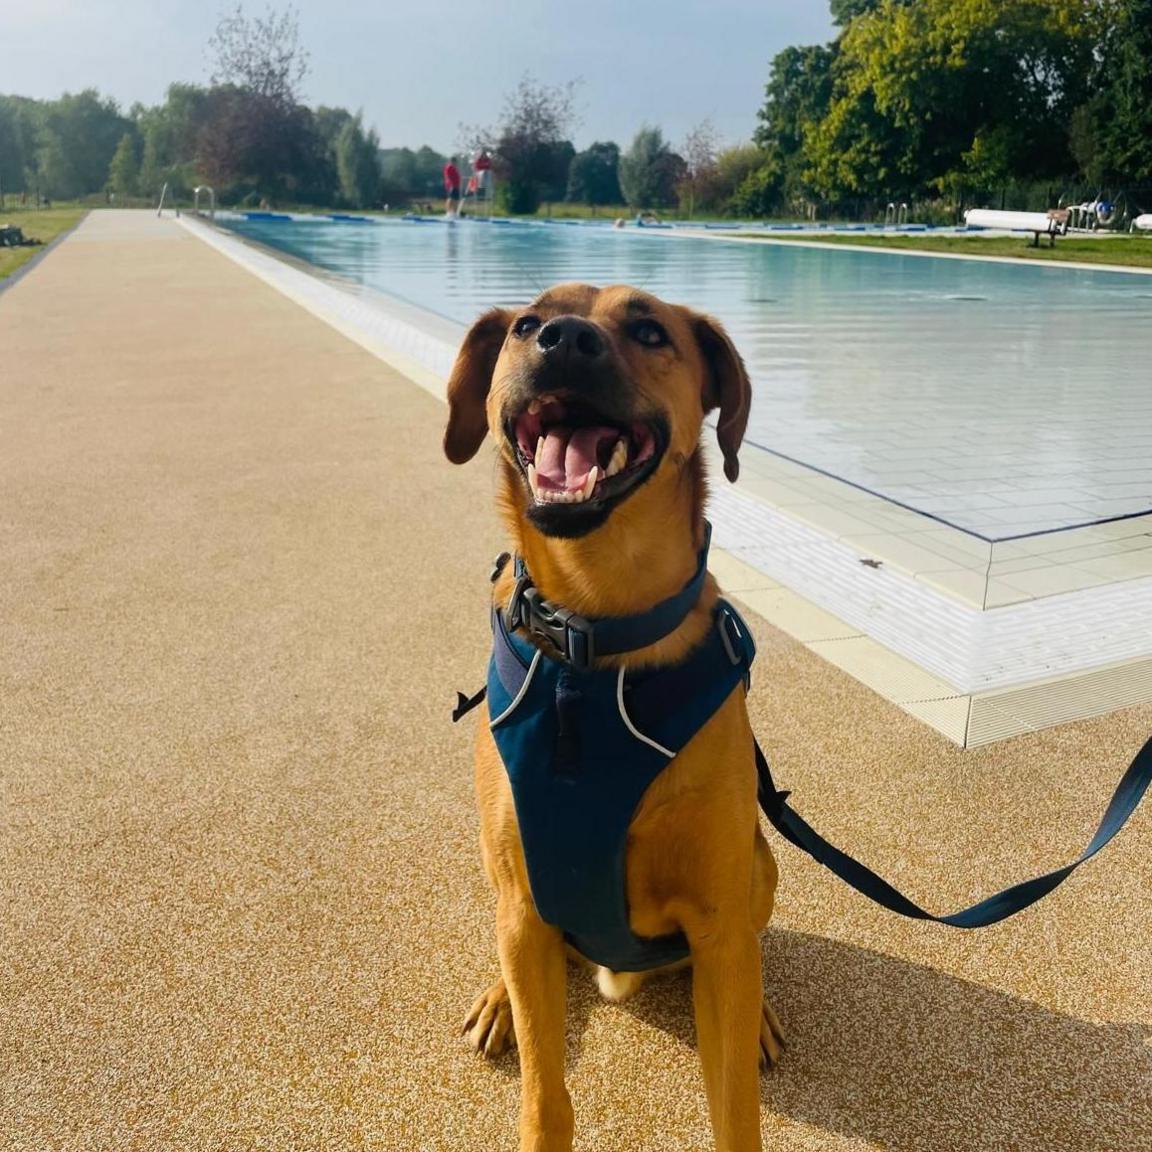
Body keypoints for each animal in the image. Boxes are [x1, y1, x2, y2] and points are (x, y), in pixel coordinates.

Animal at [440, 281, 783, 1152]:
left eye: (650, 332)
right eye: (526, 324)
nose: (562, 340)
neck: (593, 632)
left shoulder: (719, 917)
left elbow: (734, 1109)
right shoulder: (526, 898)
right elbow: (545, 1097)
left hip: (759, 870)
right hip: (512, 901)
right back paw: (499, 1000)